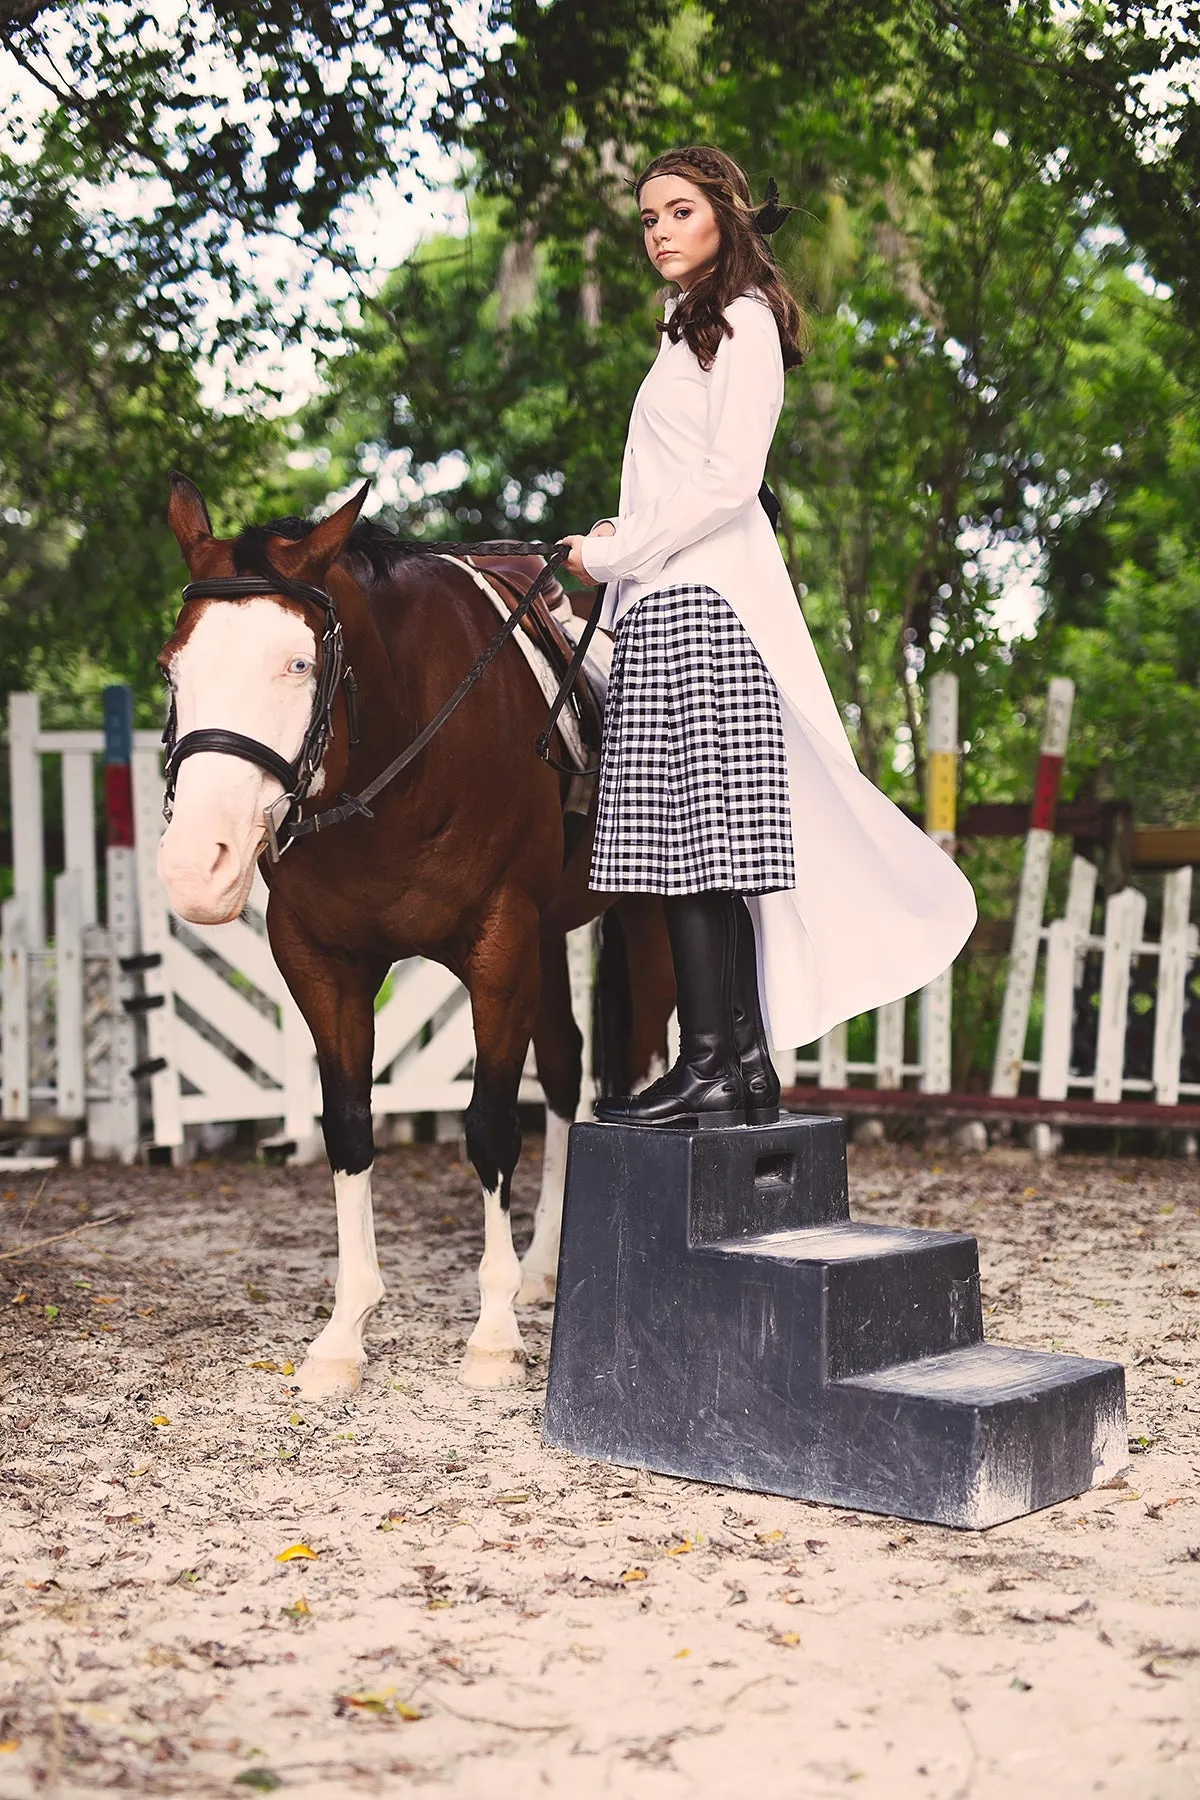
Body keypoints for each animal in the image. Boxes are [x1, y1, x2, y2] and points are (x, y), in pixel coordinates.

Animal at [157, 475, 676, 1389]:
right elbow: (350, 1125)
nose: (196, 866)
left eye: (298, 663)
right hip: (547, 942)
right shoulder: (320, 962)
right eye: (171, 667)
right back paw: (545, 1264)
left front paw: (494, 1334)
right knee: (566, 1073)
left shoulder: (500, 945)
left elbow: (490, 1127)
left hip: (633, 915)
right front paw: (345, 1329)